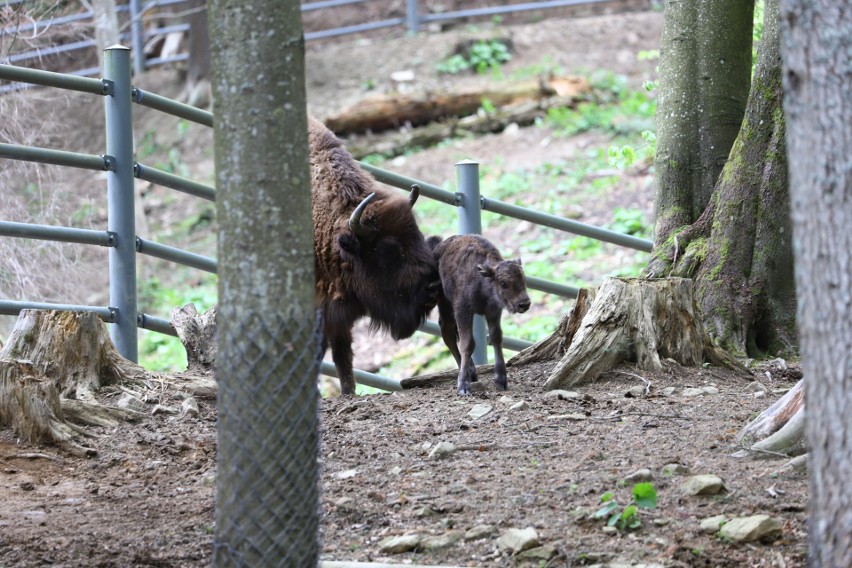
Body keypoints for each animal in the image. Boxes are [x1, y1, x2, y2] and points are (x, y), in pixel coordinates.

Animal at [308, 117, 440, 394]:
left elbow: (343, 357)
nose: (433, 288)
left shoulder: (334, 314)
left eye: (418, 235)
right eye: (388, 250)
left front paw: (348, 393)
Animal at [430, 233, 528, 392]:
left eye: (524, 279)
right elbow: (468, 343)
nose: (524, 304)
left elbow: (496, 337)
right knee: (447, 333)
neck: (484, 279)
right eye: (504, 284)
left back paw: (472, 372)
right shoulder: (463, 310)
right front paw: (463, 385)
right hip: (445, 303)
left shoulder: (493, 312)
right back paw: (469, 373)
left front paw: (501, 380)